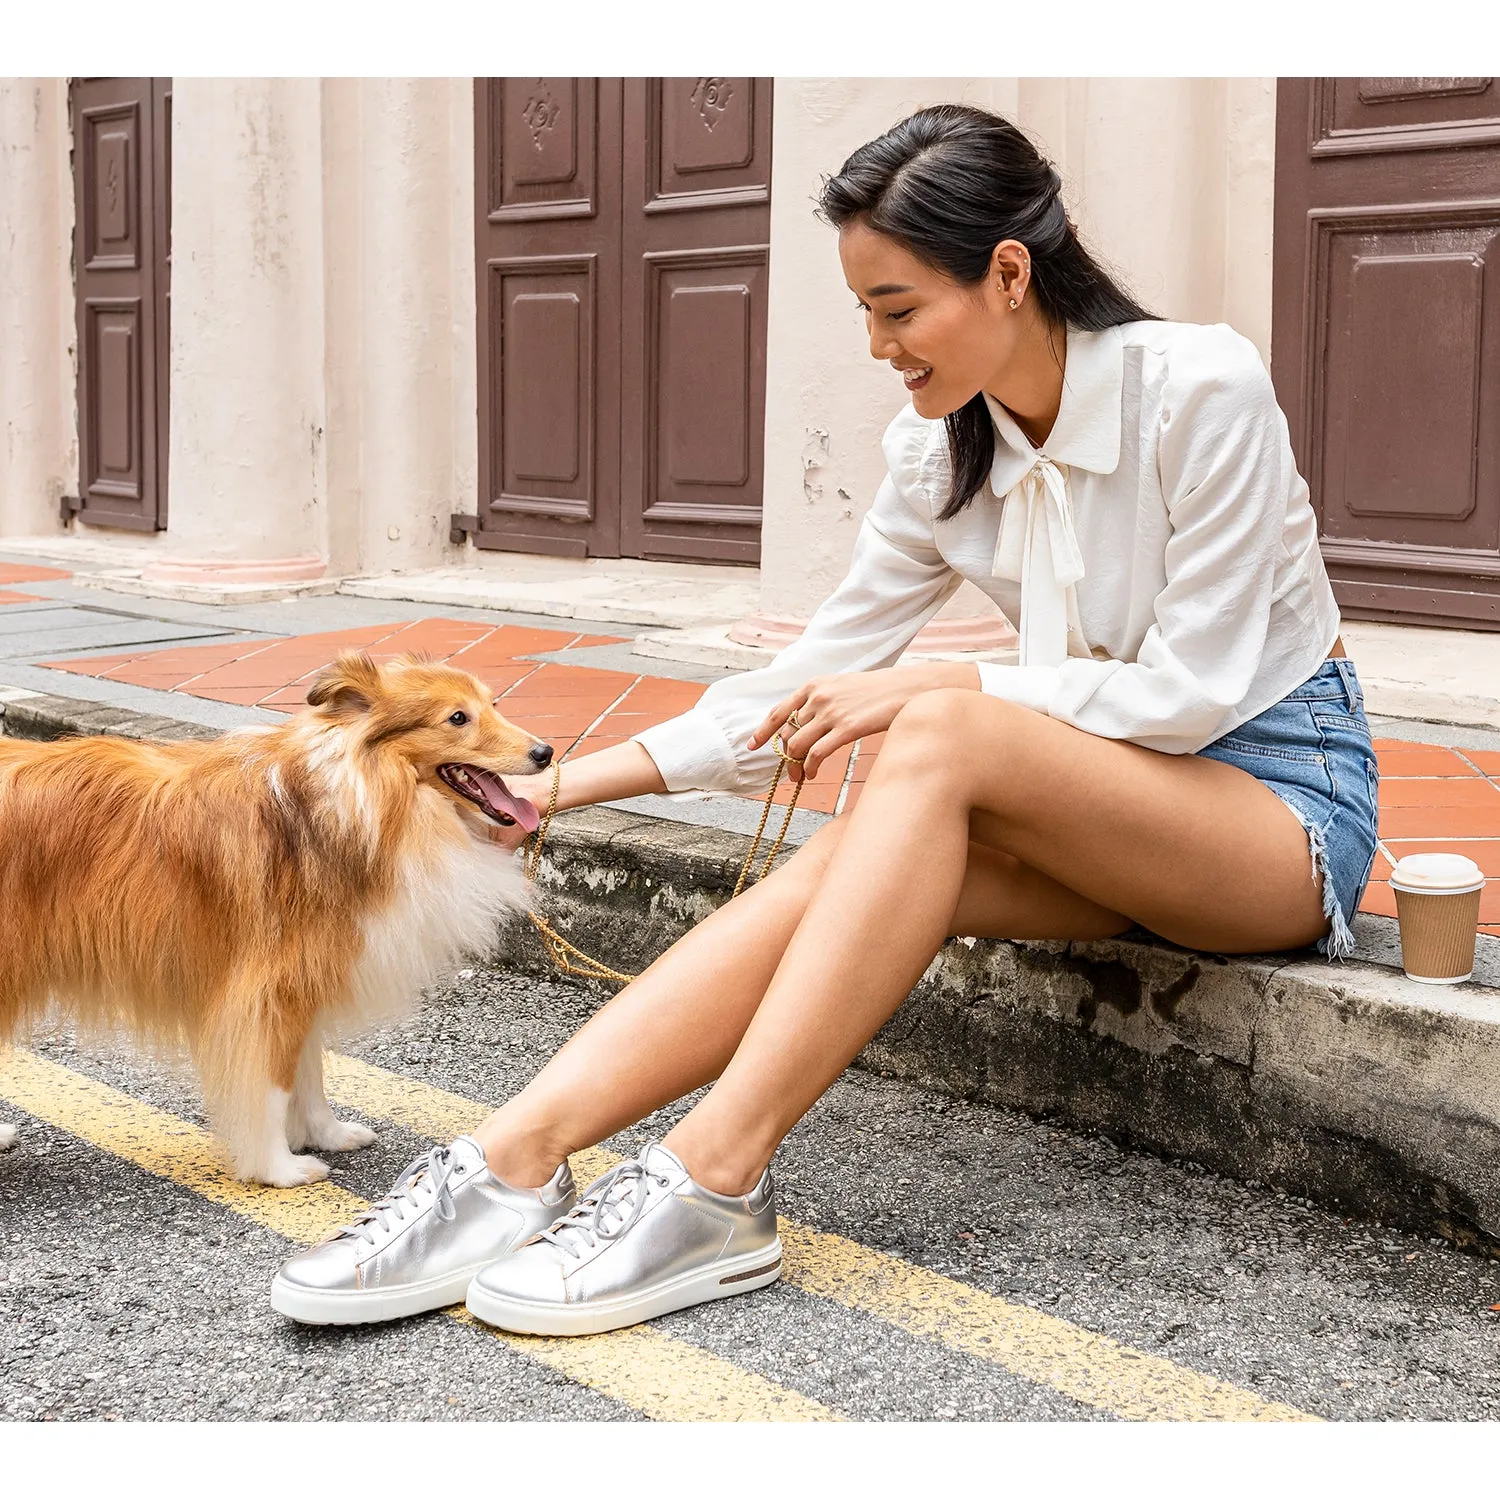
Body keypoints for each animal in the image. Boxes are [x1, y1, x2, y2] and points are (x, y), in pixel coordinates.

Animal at [0, 654, 552, 1182]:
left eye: (494, 703)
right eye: (457, 717)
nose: (545, 752)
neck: (352, 804)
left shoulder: (306, 980)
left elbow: (309, 1074)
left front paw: (326, 1134)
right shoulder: (267, 992)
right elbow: (270, 1087)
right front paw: (278, 1169)